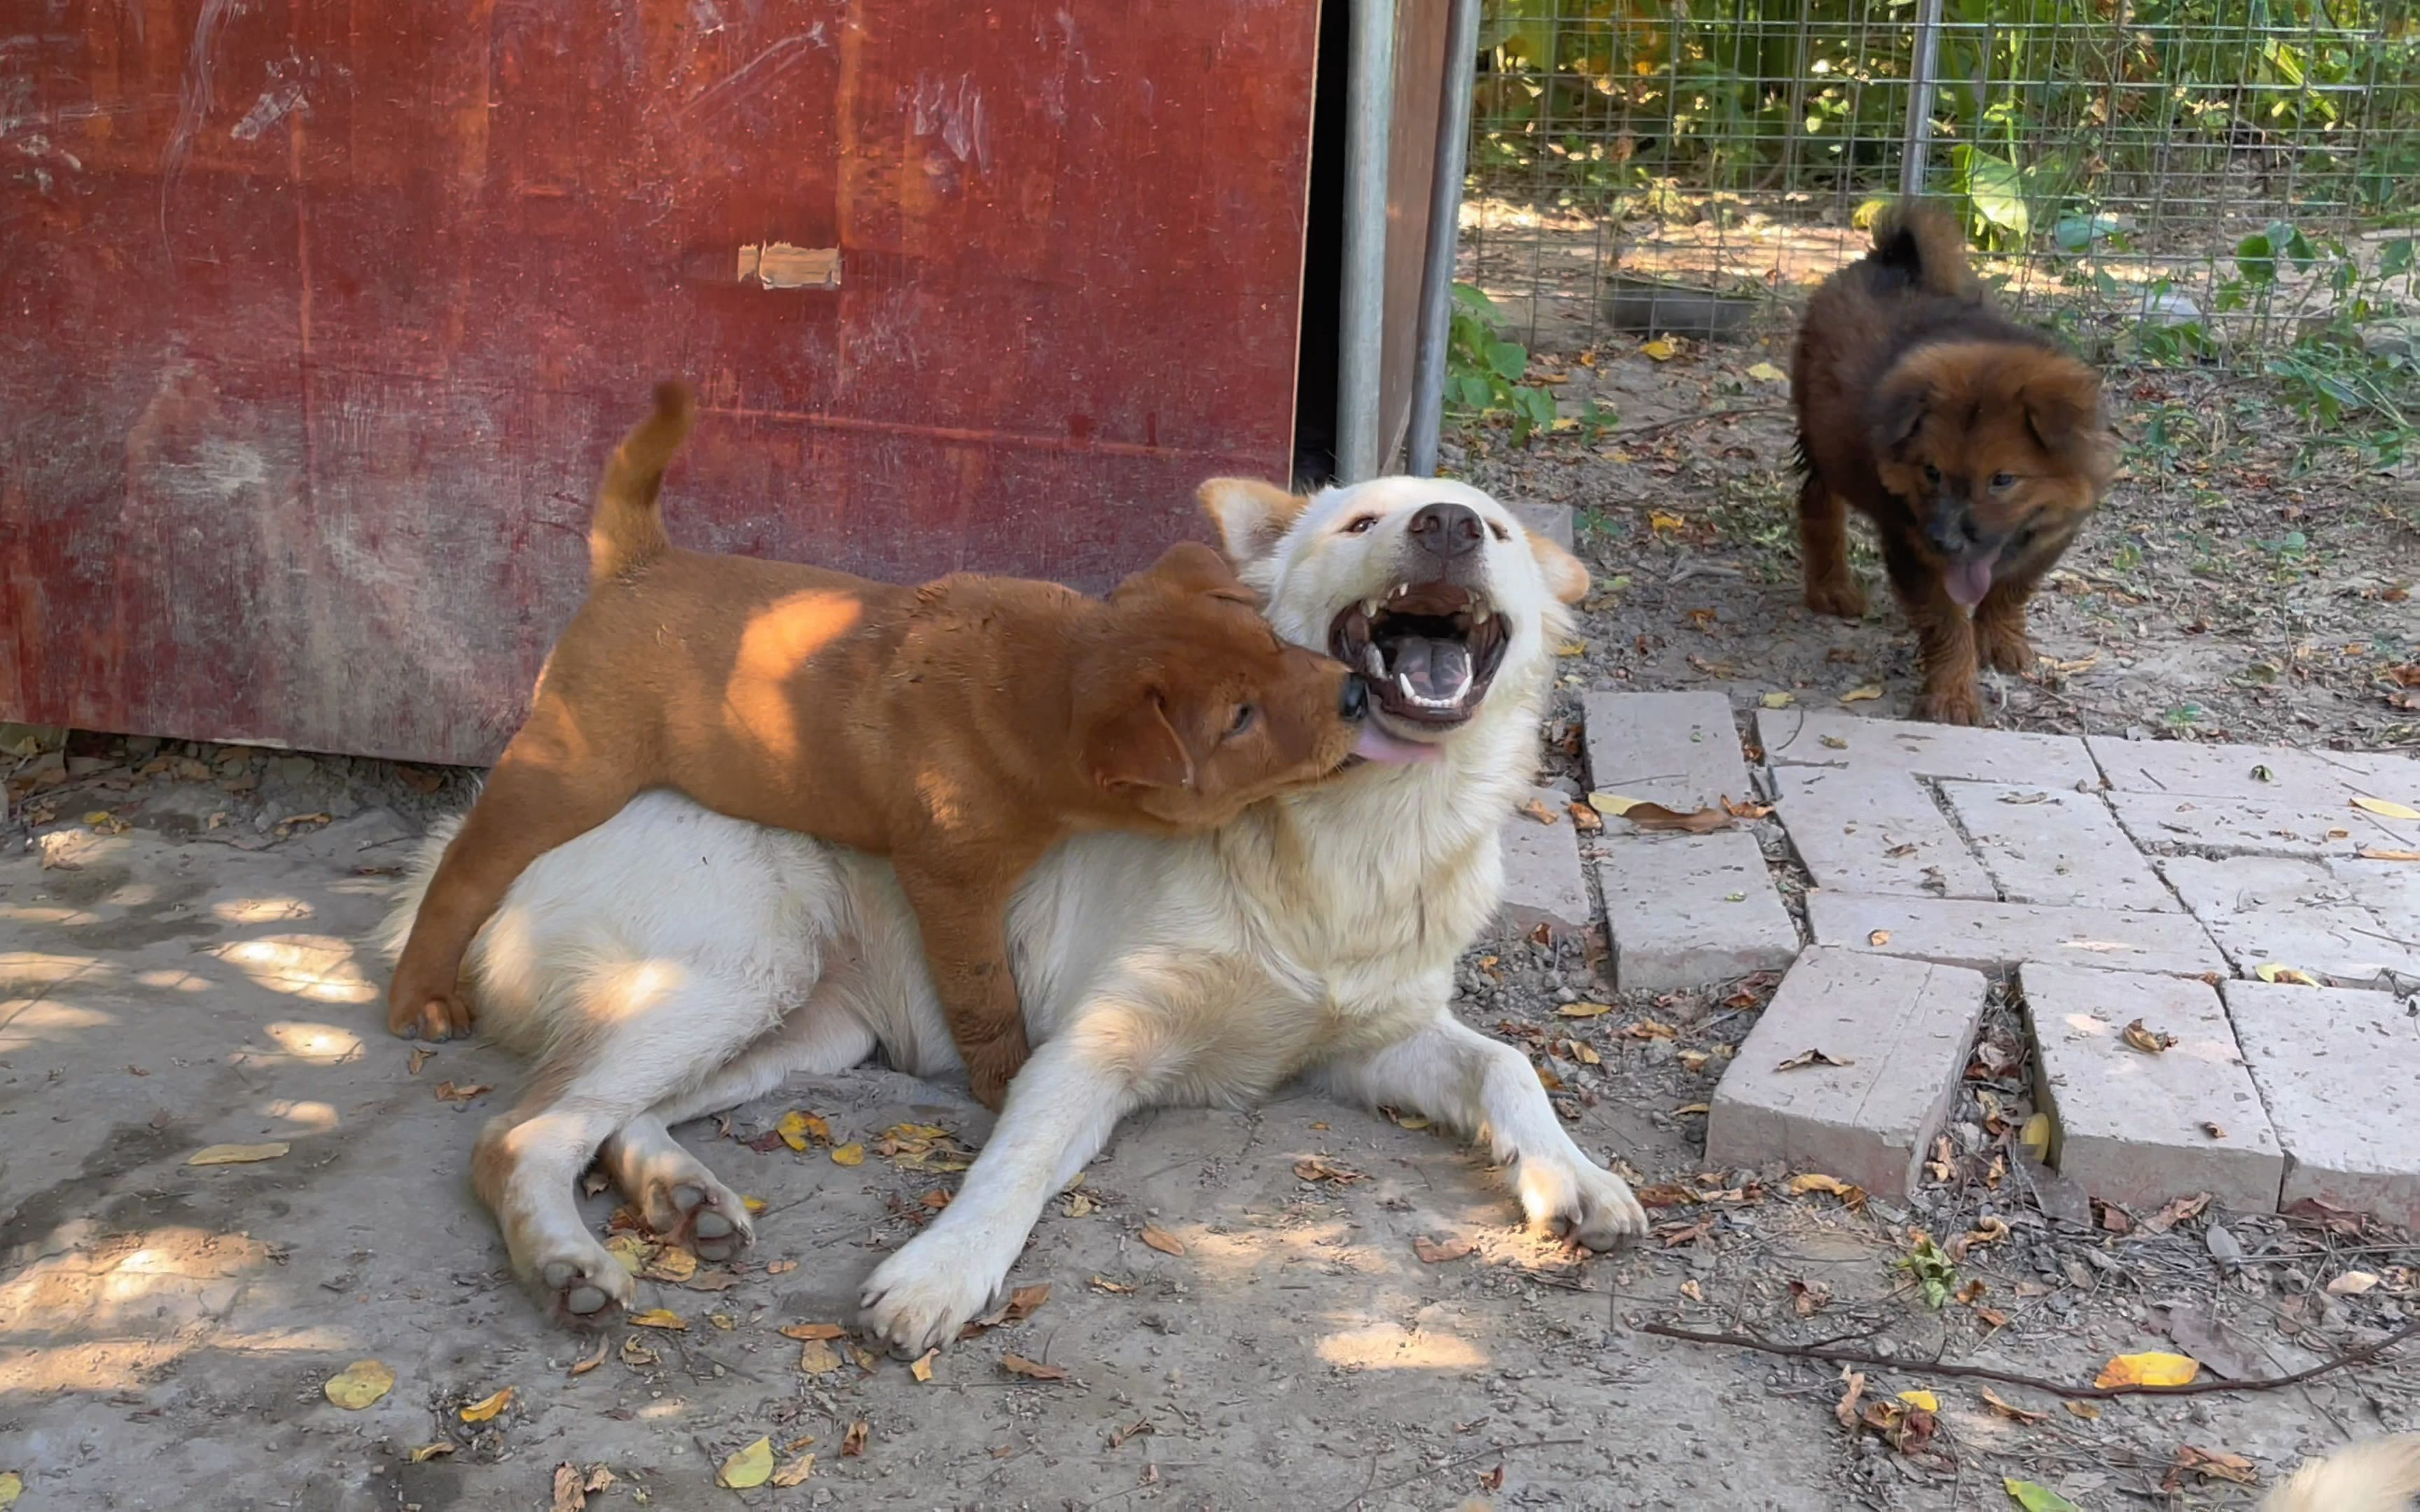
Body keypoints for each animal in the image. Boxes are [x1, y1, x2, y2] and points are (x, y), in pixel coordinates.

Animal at [387, 382, 1393, 1102]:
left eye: (1270, 644)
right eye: (1238, 720)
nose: (1355, 690)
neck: (1049, 672)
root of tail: (638, 562)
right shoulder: (949, 880)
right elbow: (984, 997)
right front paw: (1004, 1082)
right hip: (570, 766)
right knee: (466, 868)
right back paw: (418, 994)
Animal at [387, 474, 1655, 1345]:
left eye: (1493, 529)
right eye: (1360, 524)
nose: (1446, 524)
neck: (1348, 844)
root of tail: (465, 836)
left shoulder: (1369, 1044)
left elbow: (1508, 1066)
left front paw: (1575, 1176)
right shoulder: (1093, 1045)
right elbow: (1016, 1165)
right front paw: (940, 1274)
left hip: (808, 1026)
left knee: (608, 1115)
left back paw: (678, 1193)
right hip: (742, 970)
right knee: (522, 1130)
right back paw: (567, 1262)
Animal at [1790, 200, 2110, 725]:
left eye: (2003, 479)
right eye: (1931, 472)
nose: (1943, 540)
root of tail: (1892, 260)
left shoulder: (2053, 532)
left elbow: (2012, 589)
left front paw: (2002, 642)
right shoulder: (1911, 545)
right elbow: (1946, 624)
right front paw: (1954, 696)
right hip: (1822, 439)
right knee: (1818, 502)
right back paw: (1831, 588)